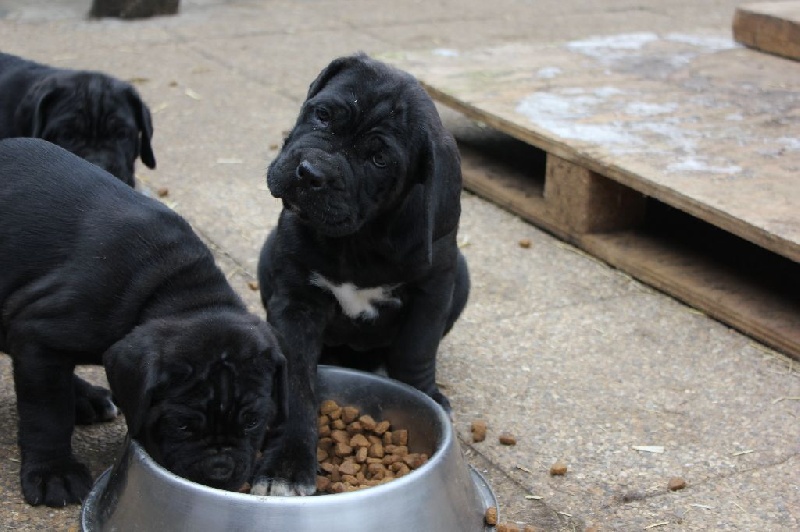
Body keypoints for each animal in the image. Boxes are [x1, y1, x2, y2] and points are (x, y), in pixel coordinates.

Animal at [0, 138, 288, 508]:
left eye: (253, 421)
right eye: (180, 426)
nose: (220, 470)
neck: (174, 289)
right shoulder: (37, 336)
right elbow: (47, 412)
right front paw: (54, 472)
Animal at [255, 53, 468, 494]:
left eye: (379, 160)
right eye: (322, 115)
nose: (310, 173)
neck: (357, 241)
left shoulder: (435, 285)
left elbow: (416, 348)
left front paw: (424, 395)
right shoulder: (297, 301)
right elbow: (297, 383)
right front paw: (287, 464)